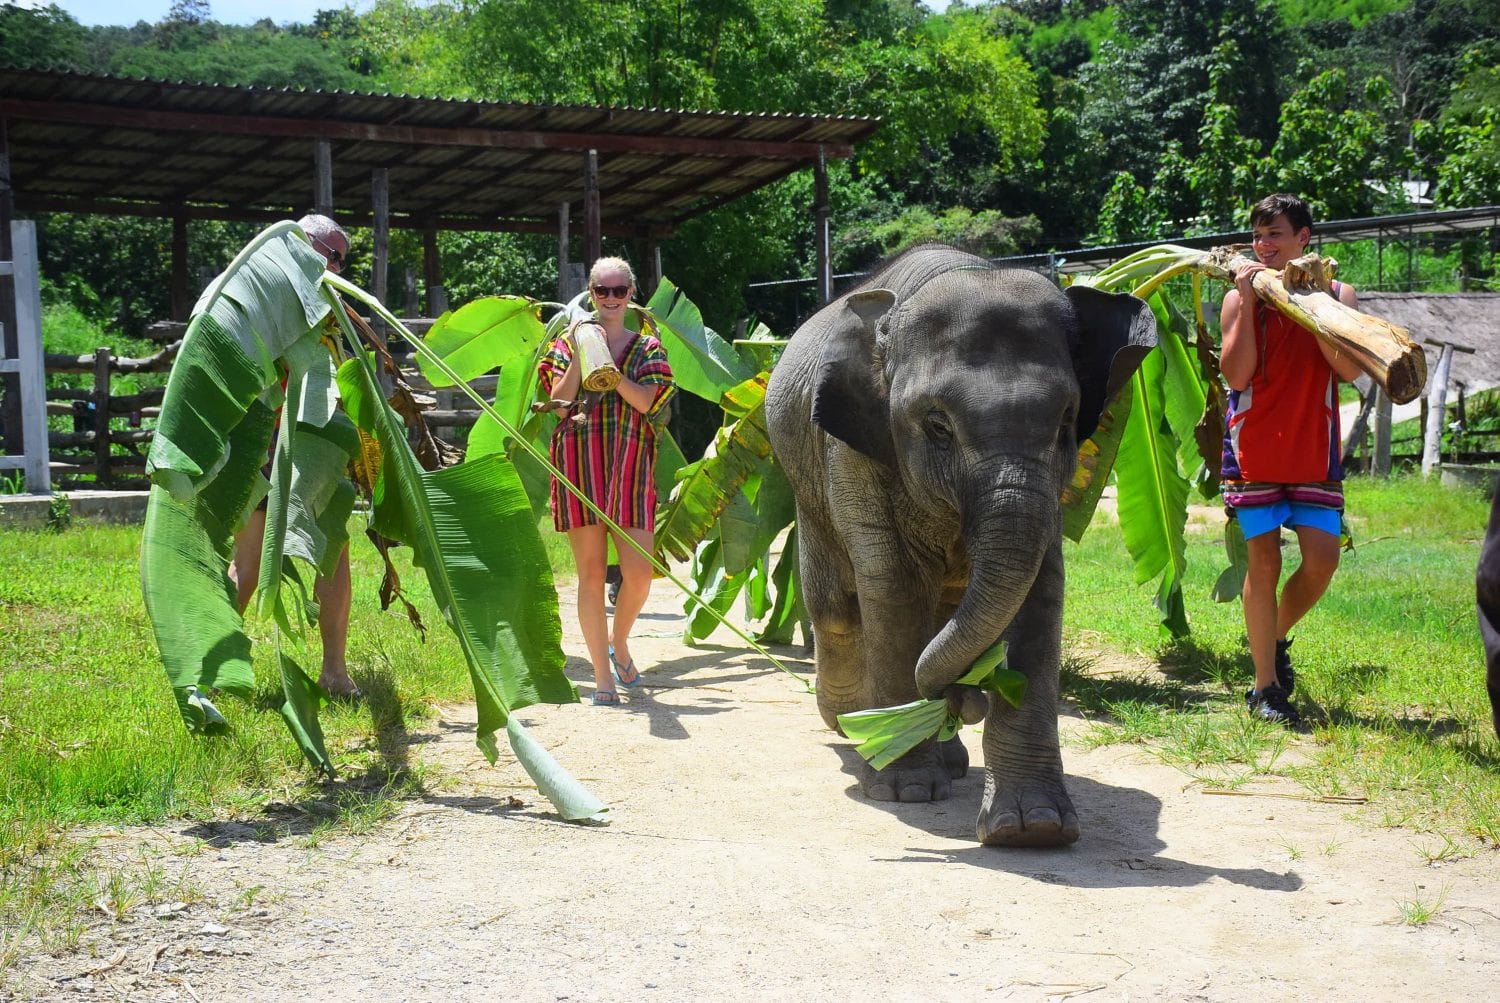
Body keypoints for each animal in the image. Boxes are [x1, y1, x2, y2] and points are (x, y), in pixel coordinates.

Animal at [762, 244, 1158, 845]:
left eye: (1066, 423)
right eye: (937, 425)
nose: (966, 697)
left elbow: (1039, 595)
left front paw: (1033, 830)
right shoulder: (852, 452)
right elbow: (894, 587)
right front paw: (906, 790)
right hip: (804, 488)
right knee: (836, 610)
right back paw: (850, 725)